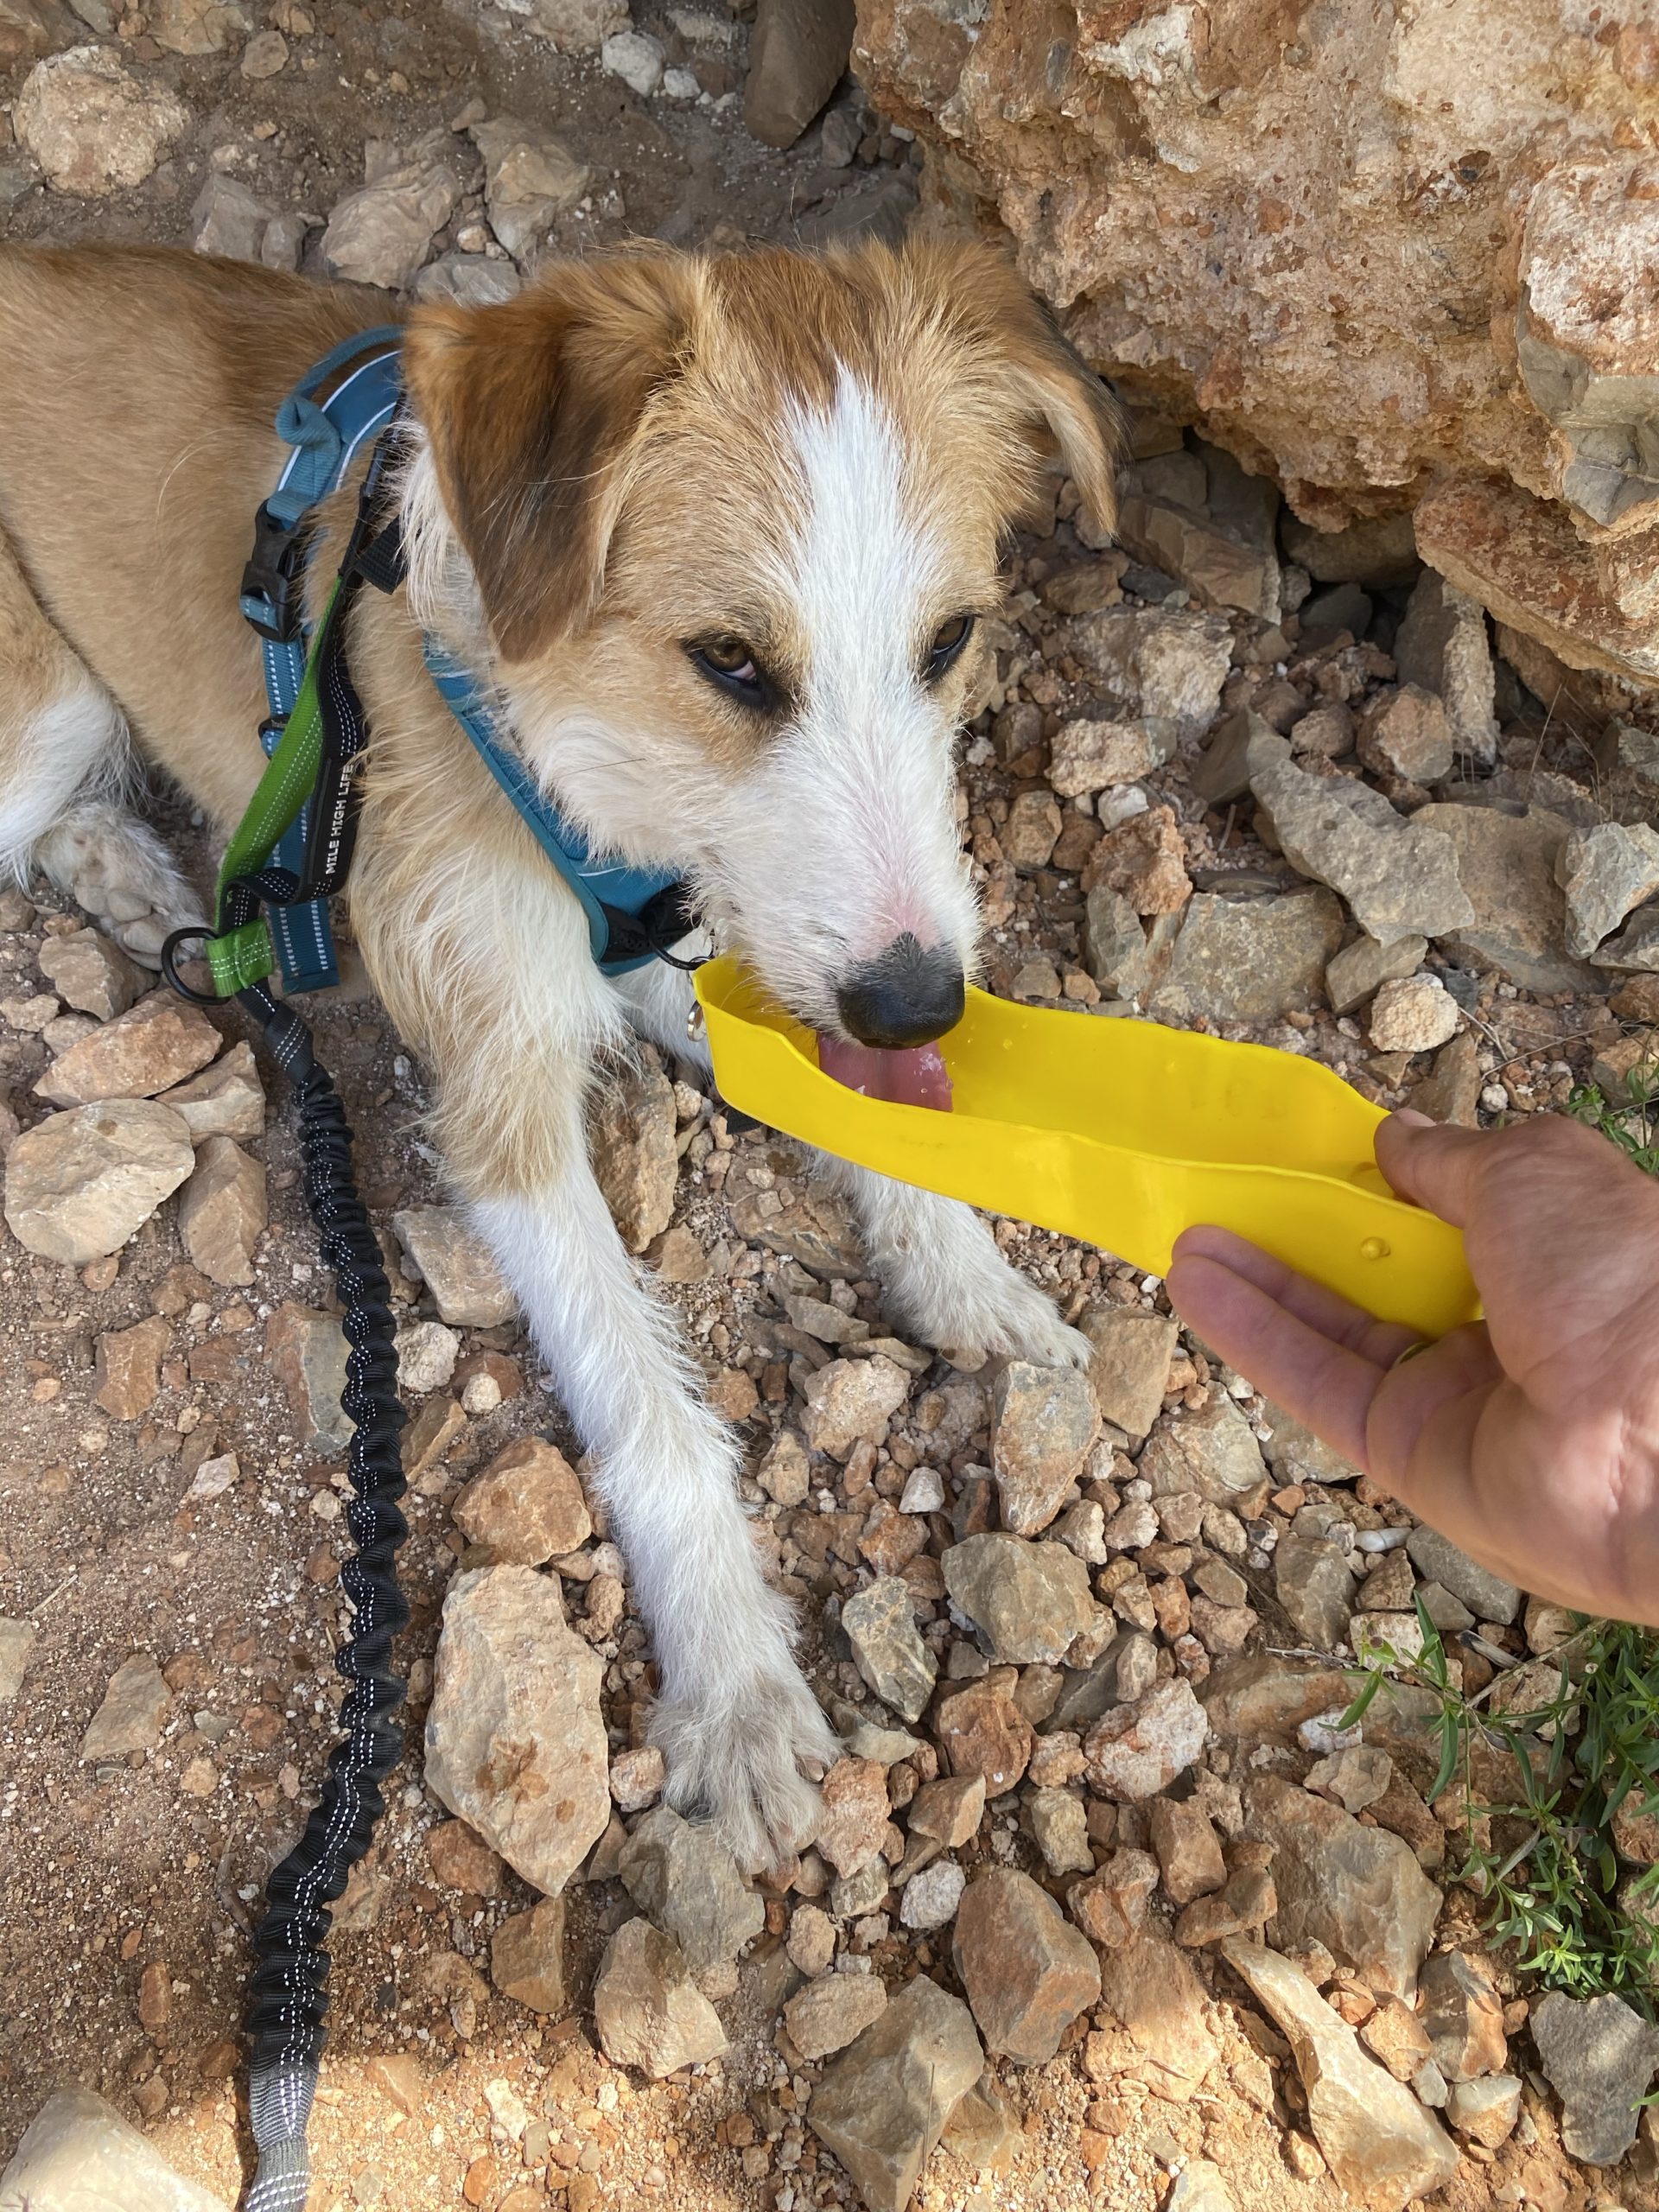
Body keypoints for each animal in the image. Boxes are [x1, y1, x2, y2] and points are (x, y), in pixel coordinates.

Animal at [0, 238, 1123, 1866]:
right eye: (731, 662)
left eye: (949, 642)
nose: (922, 1008)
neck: (573, 742)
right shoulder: (499, 1087)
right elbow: (646, 1406)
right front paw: (737, 1687)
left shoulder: (725, 932)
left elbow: (841, 1096)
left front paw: (968, 1273)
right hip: (44, 704)